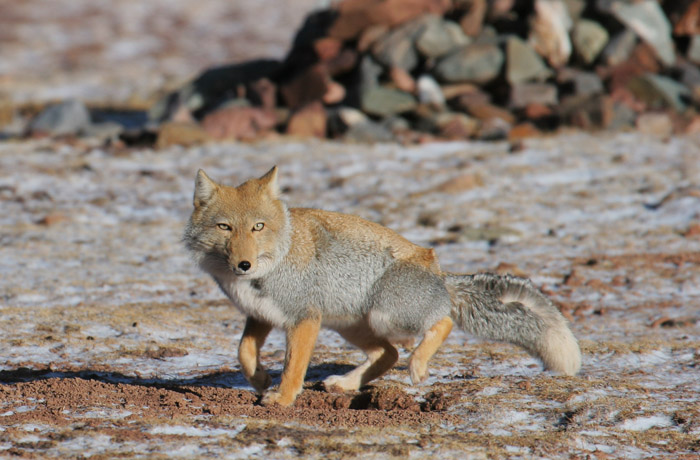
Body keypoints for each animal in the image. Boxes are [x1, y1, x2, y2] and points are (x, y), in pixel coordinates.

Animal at [183, 166, 584, 406]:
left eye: (258, 227)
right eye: (225, 227)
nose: (243, 264)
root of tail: (440, 275)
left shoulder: (304, 320)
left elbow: (293, 367)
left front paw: (282, 398)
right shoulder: (262, 316)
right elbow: (244, 352)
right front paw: (261, 379)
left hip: (385, 316)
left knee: (440, 323)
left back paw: (417, 365)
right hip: (351, 326)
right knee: (387, 354)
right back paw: (346, 385)